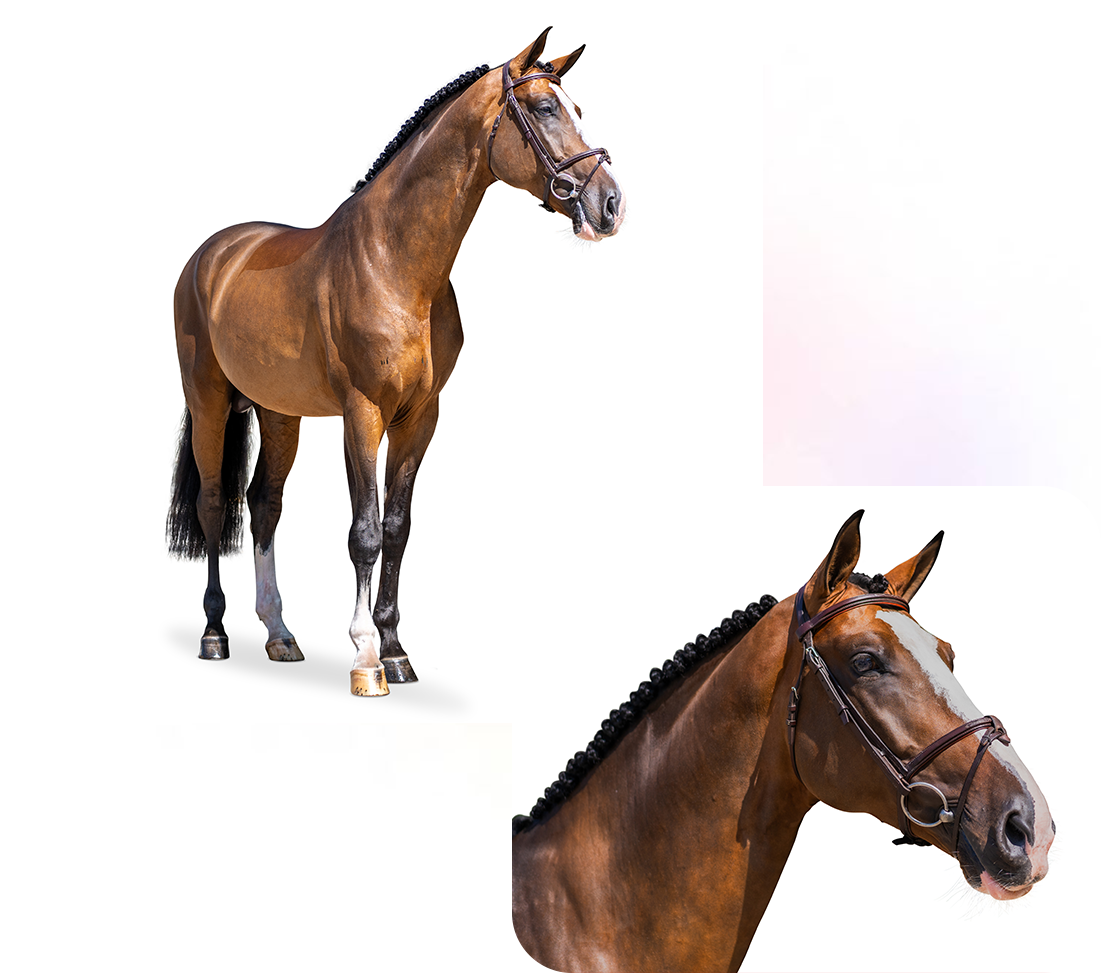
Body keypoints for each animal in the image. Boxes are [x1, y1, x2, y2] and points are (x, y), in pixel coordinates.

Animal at [167, 28, 624, 696]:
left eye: (578, 109)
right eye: (544, 109)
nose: (610, 204)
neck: (395, 262)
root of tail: (212, 254)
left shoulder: (420, 417)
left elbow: (397, 528)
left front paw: (395, 650)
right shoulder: (364, 413)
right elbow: (363, 531)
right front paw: (364, 659)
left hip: (280, 414)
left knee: (264, 504)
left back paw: (280, 634)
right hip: (209, 400)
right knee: (210, 502)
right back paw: (215, 634)